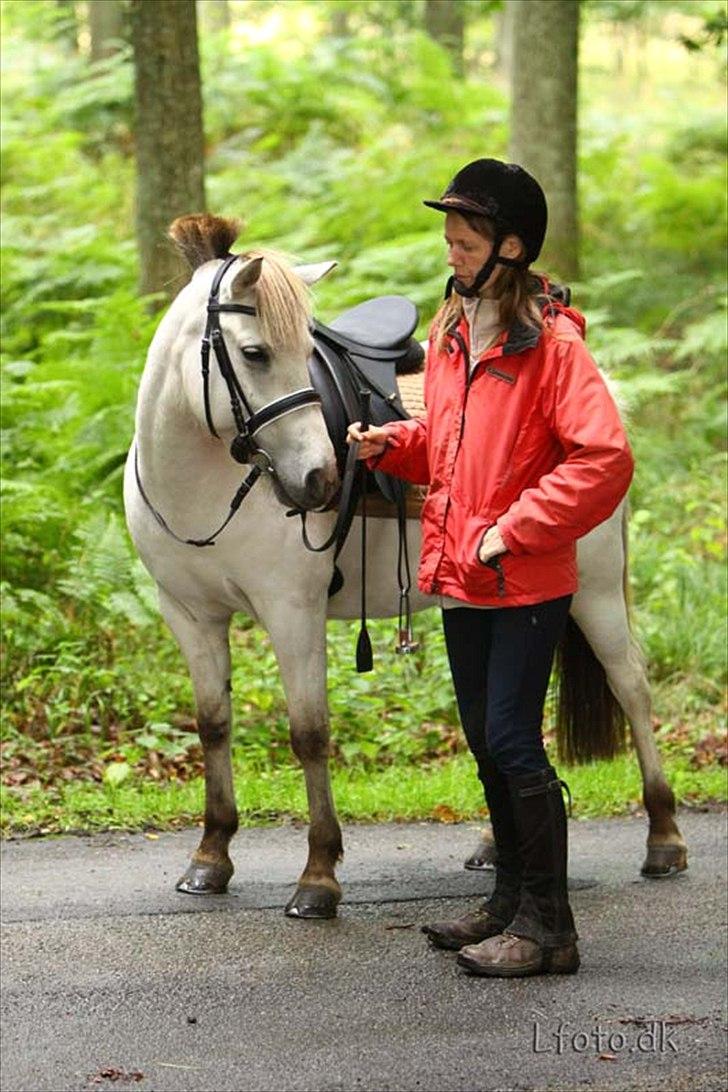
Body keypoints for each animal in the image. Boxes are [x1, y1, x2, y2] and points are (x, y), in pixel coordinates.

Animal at [125, 217, 689, 917]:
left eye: (304, 349)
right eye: (254, 353)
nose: (320, 478)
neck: (204, 484)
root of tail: (603, 391)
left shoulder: (292, 613)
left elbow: (309, 733)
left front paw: (318, 875)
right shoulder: (190, 616)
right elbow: (212, 726)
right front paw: (210, 856)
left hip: (598, 591)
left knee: (632, 685)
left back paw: (664, 837)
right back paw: (497, 845)